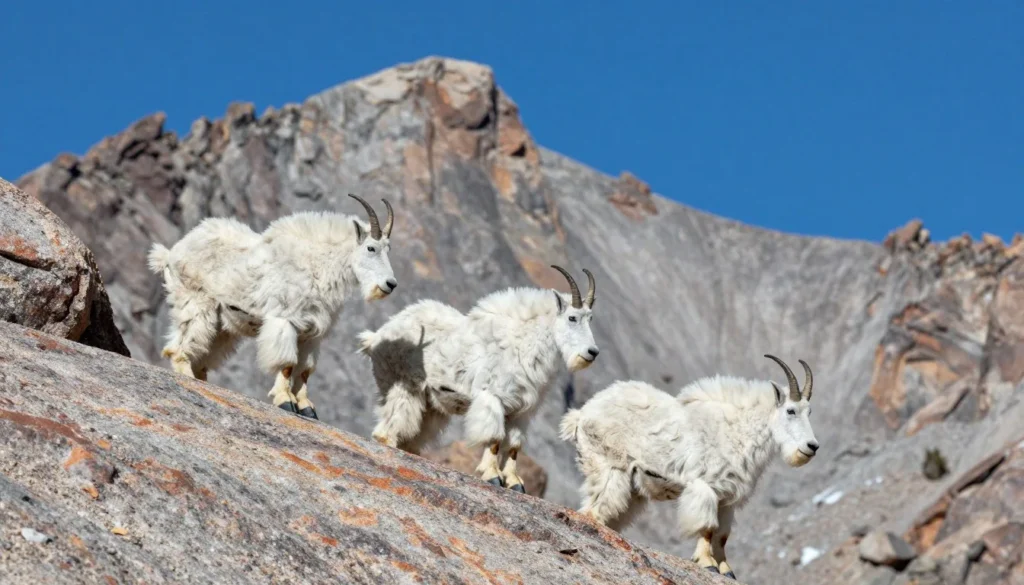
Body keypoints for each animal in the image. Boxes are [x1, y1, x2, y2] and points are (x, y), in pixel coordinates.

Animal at [148, 194, 398, 419]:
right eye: (371, 248)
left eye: (388, 249)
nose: (390, 284)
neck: (317, 267)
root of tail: (171, 253)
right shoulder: (285, 321)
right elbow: (287, 364)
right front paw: (286, 401)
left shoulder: (313, 334)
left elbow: (305, 371)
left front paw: (307, 408)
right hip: (196, 302)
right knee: (180, 346)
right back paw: (187, 375)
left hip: (222, 324)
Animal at [357, 265, 599, 494]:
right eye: (572, 317)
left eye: (591, 319)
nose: (592, 352)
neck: (523, 344)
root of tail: (377, 336)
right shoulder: (492, 398)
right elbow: (493, 439)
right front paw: (493, 476)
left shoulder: (521, 412)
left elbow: (513, 446)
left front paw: (515, 483)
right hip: (402, 386)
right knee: (388, 427)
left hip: (431, 405)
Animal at [559, 354, 819, 579]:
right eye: (790, 410)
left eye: (810, 411)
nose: (812, 446)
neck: (738, 431)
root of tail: (580, 415)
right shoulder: (705, 486)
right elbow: (707, 527)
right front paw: (707, 564)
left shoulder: (728, 499)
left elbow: (722, 536)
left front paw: (727, 570)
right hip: (609, 467)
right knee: (594, 510)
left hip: (631, 489)